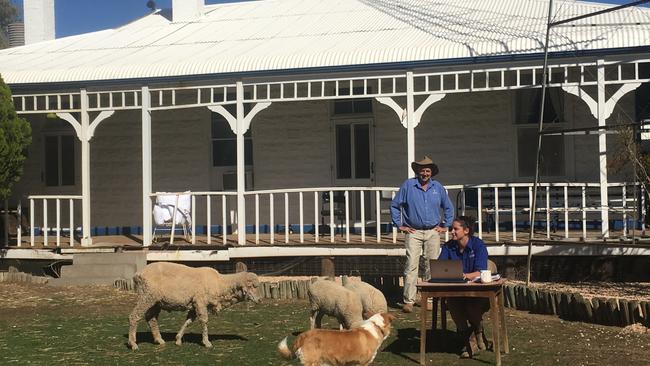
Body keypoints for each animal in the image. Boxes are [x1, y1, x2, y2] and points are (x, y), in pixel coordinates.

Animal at [125, 262, 260, 350]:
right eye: (251, 286)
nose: (259, 300)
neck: (219, 284)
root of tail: (137, 274)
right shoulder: (200, 302)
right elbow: (204, 321)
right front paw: (206, 342)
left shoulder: (194, 305)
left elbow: (188, 322)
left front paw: (178, 339)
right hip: (147, 296)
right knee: (134, 316)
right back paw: (133, 343)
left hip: (156, 302)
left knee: (151, 318)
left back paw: (159, 340)